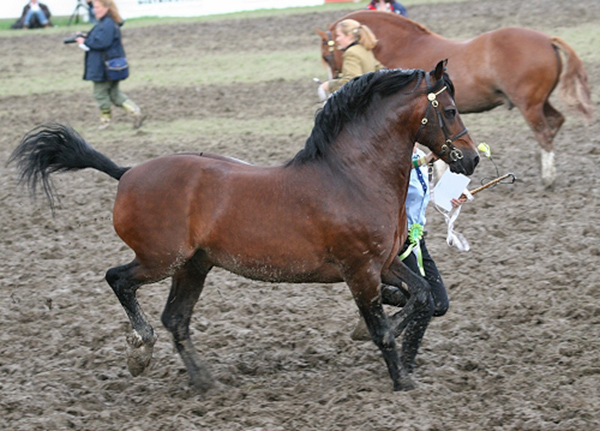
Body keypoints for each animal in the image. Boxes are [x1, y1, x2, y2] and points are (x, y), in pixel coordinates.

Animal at [9, 60, 478, 394]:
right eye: (451, 110)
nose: (472, 159)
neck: (352, 176)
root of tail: (125, 173)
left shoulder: (385, 263)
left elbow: (420, 296)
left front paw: (377, 338)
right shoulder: (360, 270)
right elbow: (383, 326)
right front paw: (400, 379)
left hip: (193, 266)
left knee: (175, 318)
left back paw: (204, 381)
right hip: (161, 259)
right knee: (119, 280)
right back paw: (139, 350)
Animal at [316, 11, 592, 187]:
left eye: (328, 56)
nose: (332, 84)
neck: (403, 45)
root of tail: (547, 39)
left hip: (530, 105)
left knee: (544, 131)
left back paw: (547, 178)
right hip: (540, 102)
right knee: (556, 122)